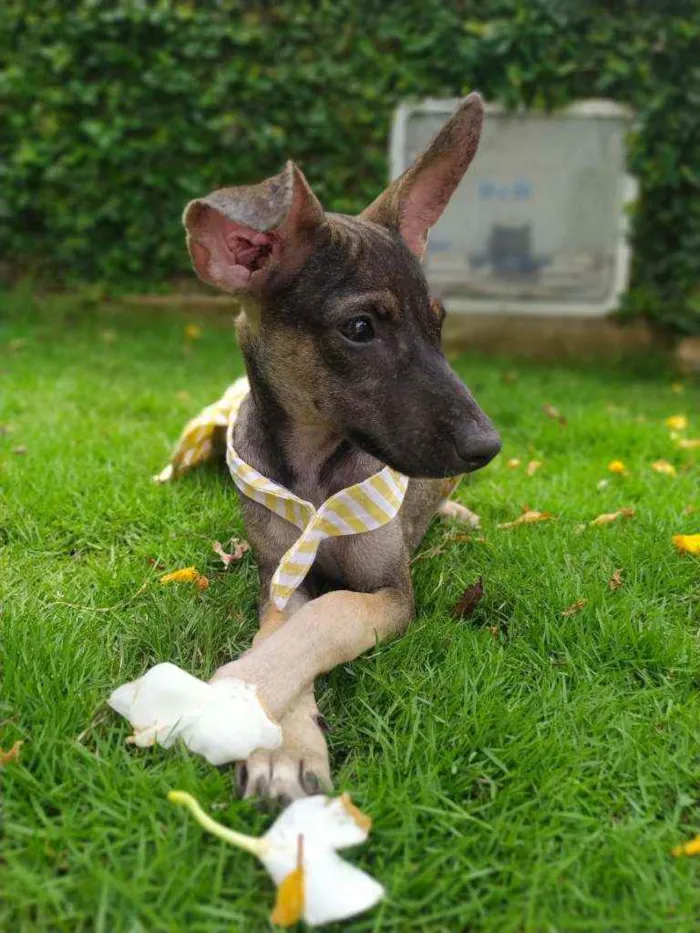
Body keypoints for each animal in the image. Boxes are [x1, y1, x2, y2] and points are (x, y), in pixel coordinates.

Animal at [180, 94, 498, 800]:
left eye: (438, 325)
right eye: (360, 329)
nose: (487, 445)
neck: (313, 469)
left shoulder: (391, 590)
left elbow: (329, 618)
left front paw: (239, 693)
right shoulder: (278, 575)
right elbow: (288, 628)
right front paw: (280, 742)